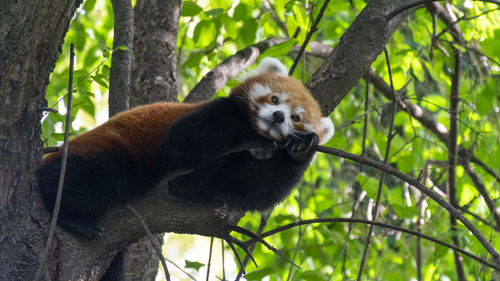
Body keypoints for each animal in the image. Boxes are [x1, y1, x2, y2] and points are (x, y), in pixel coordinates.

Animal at [38, 57, 332, 238]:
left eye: (297, 118)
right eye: (274, 99)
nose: (279, 117)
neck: (254, 148)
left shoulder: (239, 175)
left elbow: (254, 189)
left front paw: (302, 147)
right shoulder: (211, 118)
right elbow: (184, 144)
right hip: (109, 149)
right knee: (92, 175)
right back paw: (71, 215)